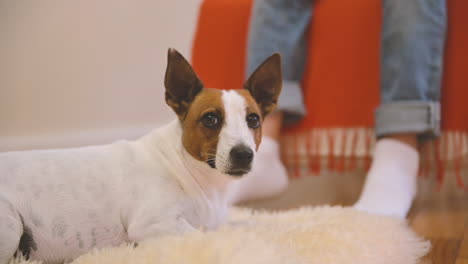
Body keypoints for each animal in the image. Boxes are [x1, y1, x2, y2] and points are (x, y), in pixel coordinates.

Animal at [0, 49, 282, 264]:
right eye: (210, 118)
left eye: (253, 120)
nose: (243, 154)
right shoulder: (153, 224)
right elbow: (206, 236)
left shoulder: (217, 221)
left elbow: (251, 224)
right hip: (10, 224)